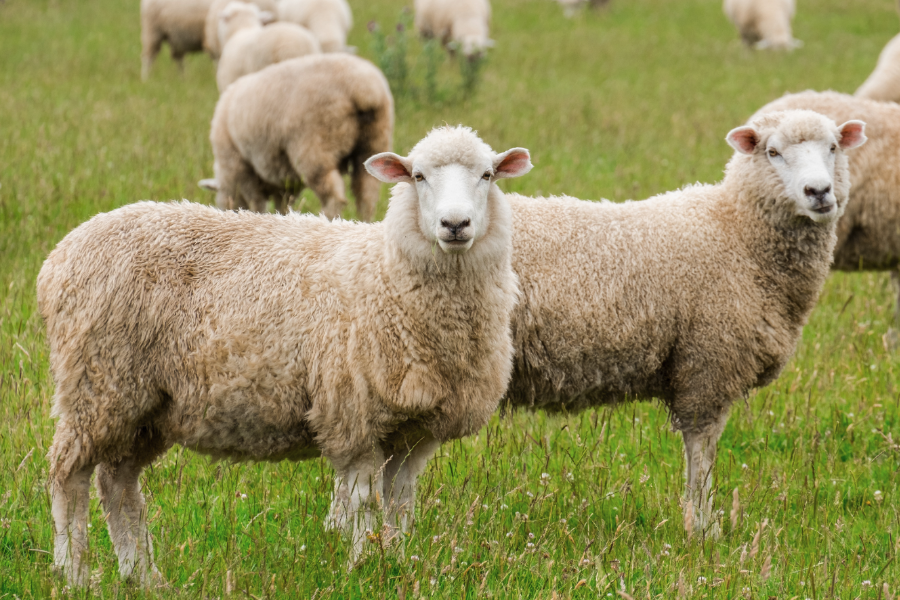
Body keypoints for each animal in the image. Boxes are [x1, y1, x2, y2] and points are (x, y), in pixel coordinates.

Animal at [40, 126, 536, 584]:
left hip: (145, 406)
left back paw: (143, 576)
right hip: (97, 384)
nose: (455, 225)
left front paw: (394, 563)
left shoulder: (412, 432)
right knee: (69, 476)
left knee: (117, 484)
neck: (386, 274)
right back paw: (74, 572)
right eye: (418, 177)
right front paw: (362, 567)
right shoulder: (352, 416)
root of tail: (59, 255)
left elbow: (399, 503)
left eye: (487, 175)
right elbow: (364, 503)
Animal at [202, 52, 396, 219]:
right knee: (367, 196)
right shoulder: (285, 181)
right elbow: (282, 205)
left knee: (334, 198)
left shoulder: (240, 167)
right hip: (374, 141)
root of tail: (364, 90)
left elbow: (256, 203)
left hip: (316, 146)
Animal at [506, 110, 864, 536]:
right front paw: (702, 529)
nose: (819, 192)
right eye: (772, 151)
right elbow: (701, 454)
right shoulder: (707, 365)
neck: (736, 232)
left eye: (833, 147)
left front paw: (700, 524)